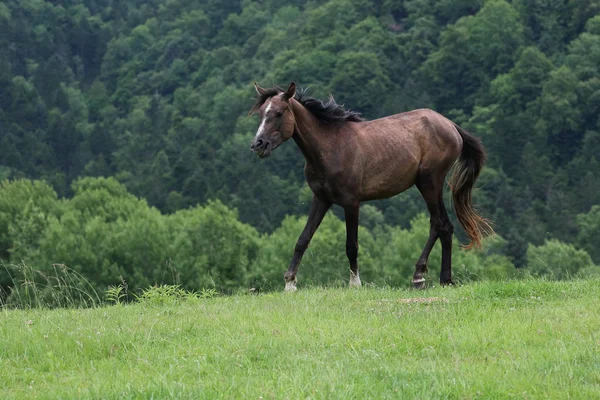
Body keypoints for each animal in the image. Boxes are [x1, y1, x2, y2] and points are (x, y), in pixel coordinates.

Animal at [247, 83, 492, 292]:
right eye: (261, 114)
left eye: (279, 113)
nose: (257, 144)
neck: (330, 147)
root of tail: (451, 126)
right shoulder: (321, 199)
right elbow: (303, 239)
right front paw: (290, 283)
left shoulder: (351, 203)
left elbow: (351, 245)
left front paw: (355, 283)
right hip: (430, 185)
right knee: (445, 226)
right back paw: (443, 279)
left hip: (429, 182)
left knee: (439, 223)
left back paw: (419, 277)